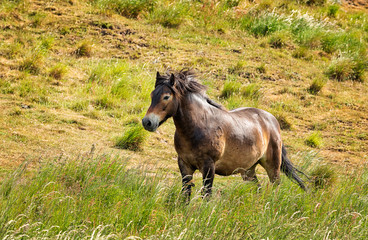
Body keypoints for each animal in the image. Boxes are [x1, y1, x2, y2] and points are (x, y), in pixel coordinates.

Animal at [142, 70, 306, 200]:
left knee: (276, 186)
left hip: (273, 166)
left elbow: (207, 195)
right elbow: (185, 194)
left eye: (166, 96)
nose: (147, 122)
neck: (198, 126)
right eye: (152, 95)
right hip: (248, 170)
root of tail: (272, 120)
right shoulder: (184, 165)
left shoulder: (209, 167)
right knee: (258, 188)